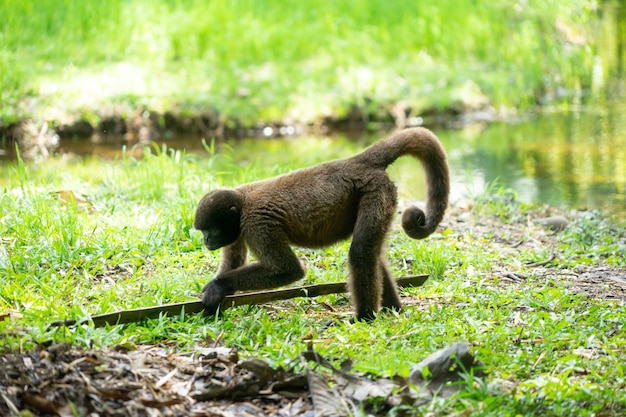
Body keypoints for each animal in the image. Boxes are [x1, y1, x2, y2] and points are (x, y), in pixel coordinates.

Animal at [193, 128, 446, 320]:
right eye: (203, 231)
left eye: (210, 229)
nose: (206, 240)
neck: (242, 203)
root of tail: (354, 162)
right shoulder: (239, 230)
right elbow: (233, 261)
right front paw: (218, 295)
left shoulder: (256, 223)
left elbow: (287, 269)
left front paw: (217, 286)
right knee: (373, 253)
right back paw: (392, 309)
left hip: (377, 190)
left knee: (361, 251)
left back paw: (365, 317)